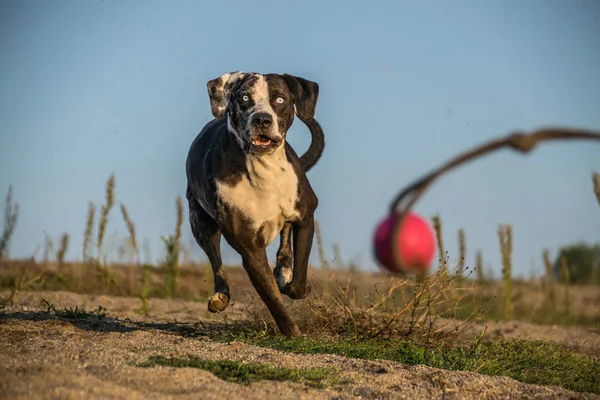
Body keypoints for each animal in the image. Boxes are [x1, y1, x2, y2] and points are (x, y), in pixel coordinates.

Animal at [186, 72, 324, 338]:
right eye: (244, 98)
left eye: (280, 99)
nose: (262, 119)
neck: (263, 168)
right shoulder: (249, 249)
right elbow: (271, 298)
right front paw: (291, 331)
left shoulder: (306, 216)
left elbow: (299, 280)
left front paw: (294, 284)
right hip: (198, 221)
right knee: (215, 258)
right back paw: (221, 294)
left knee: (285, 239)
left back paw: (283, 271)